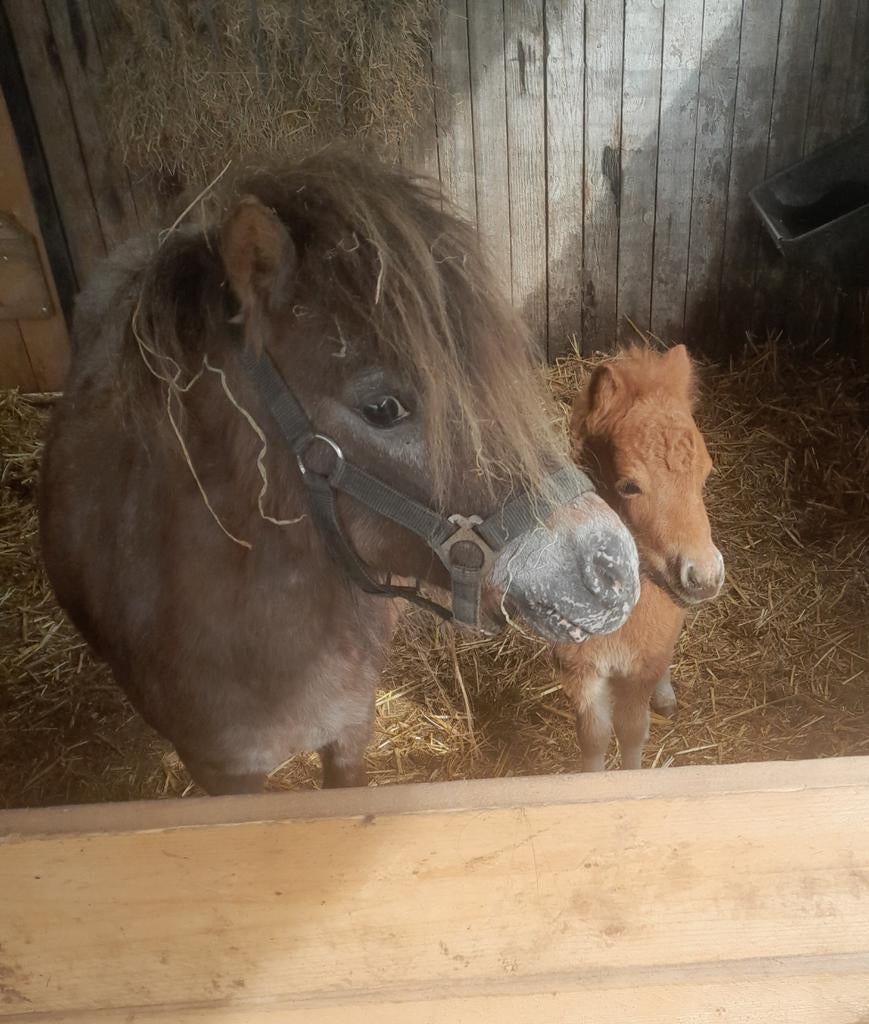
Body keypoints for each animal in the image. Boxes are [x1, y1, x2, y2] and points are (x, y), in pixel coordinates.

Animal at [555, 345, 724, 771]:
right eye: (629, 486)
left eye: (705, 474)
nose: (705, 576)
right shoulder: (580, 670)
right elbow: (594, 738)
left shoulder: (640, 670)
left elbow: (632, 733)